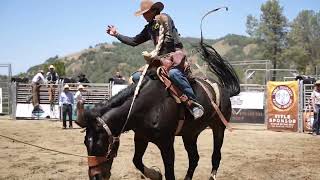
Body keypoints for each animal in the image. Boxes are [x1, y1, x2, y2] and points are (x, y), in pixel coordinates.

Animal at [75, 7, 240, 180]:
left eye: (100, 142)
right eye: (85, 142)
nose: (95, 176)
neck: (148, 105)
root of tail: (225, 90)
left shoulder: (166, 143)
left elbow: (169, 172)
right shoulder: (140, 137)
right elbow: (137, 161)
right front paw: (155, 174)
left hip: (219, 127)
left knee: (216, 156)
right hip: (190, 133)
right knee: (194, 158)